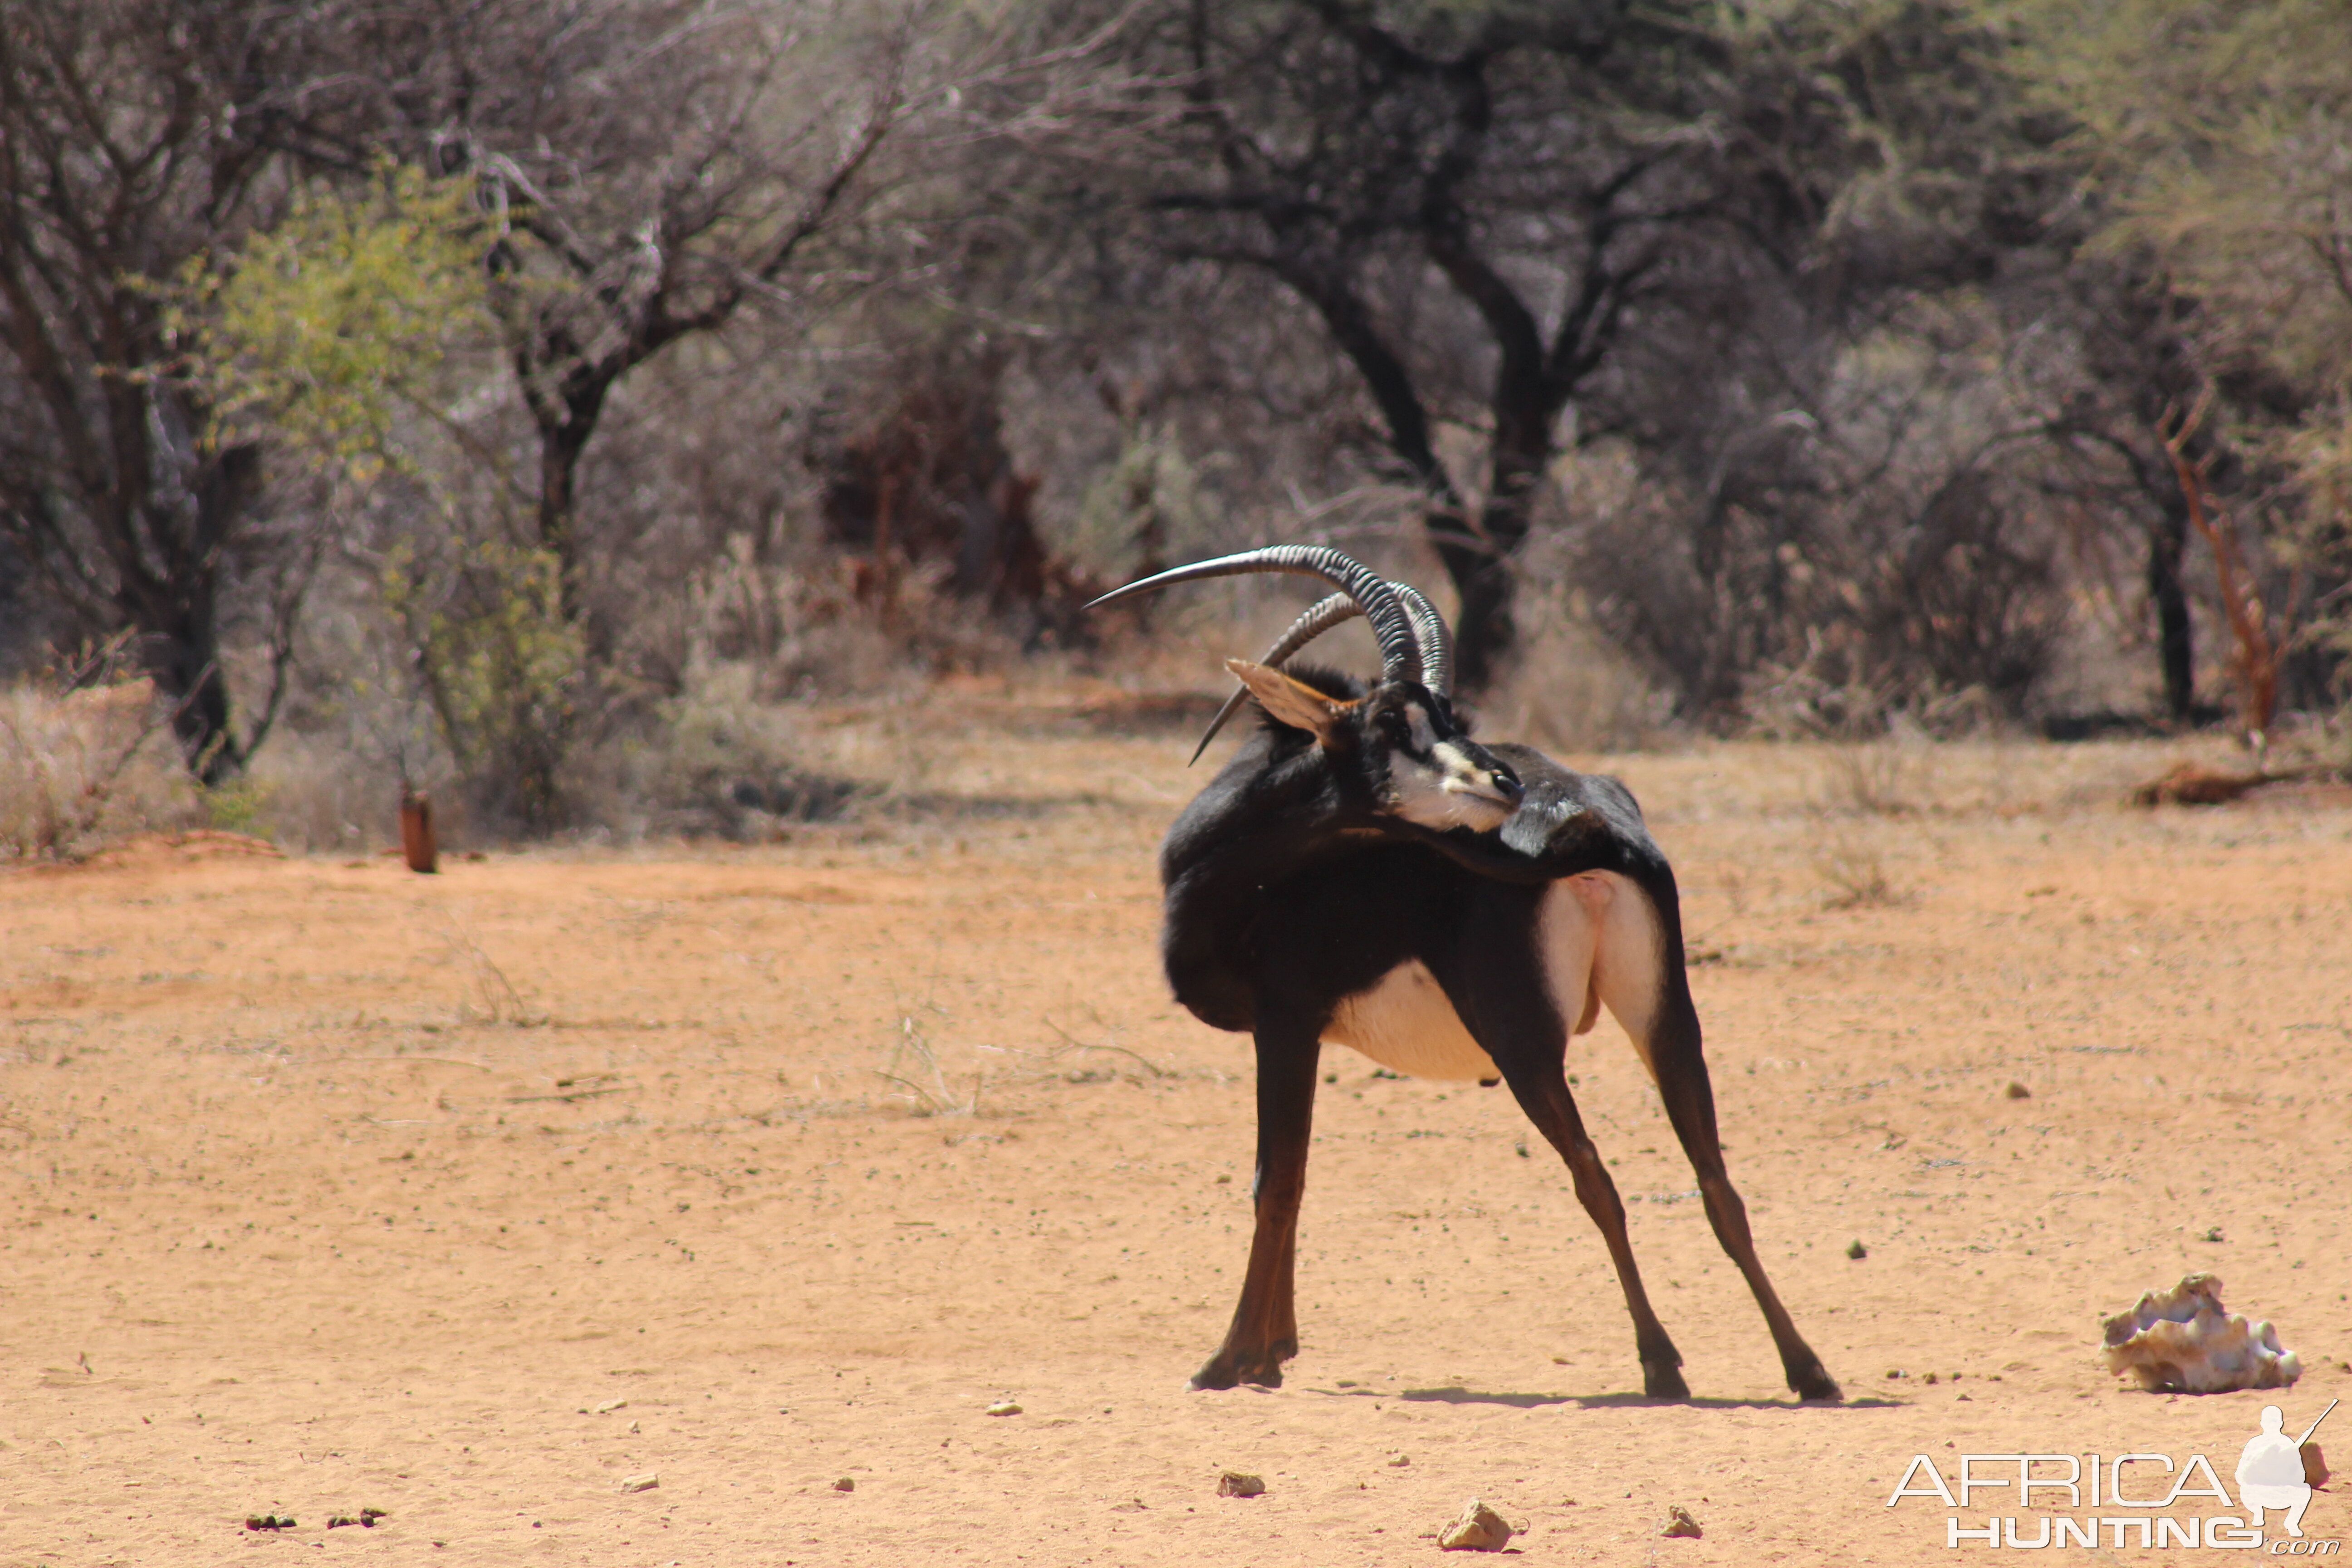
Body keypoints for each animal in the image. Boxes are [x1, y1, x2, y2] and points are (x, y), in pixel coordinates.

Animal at [1091, 545, 1844, 1401]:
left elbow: (1275, 1178)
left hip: (1522, 1046)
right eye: (1392, 722)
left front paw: (1233, 1359)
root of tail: (1599, 830)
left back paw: (1661, 1364)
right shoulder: (1304, 1034)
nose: (1502, 785)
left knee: (1596, 1178)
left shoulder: (1285, 1023)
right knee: (1716, 1181)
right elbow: (1298, 1175)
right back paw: (1806, 1369)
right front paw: (1276, 1348)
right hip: (1664, 1018)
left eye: (1450, 720)